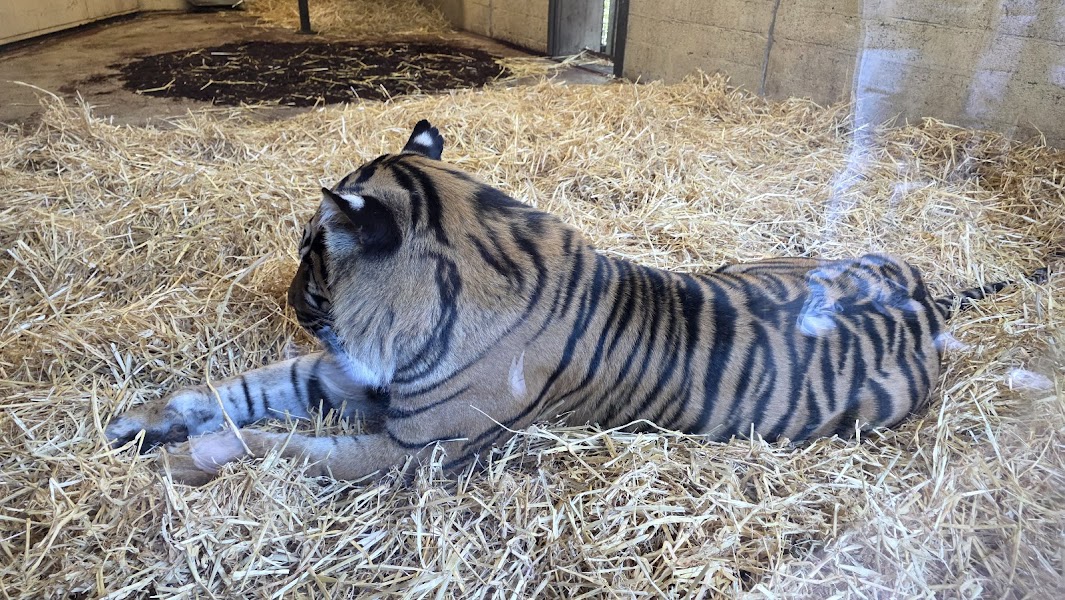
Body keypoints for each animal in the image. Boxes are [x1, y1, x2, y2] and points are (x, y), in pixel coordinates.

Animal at [105, 119, 1045, 485]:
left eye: (311, 249)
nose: (293, 294)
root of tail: (927, 296)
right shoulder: (352, 378)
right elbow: (246, 390)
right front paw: (141, 423)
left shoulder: (407, 452)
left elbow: (284, 445)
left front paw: (192, 459)